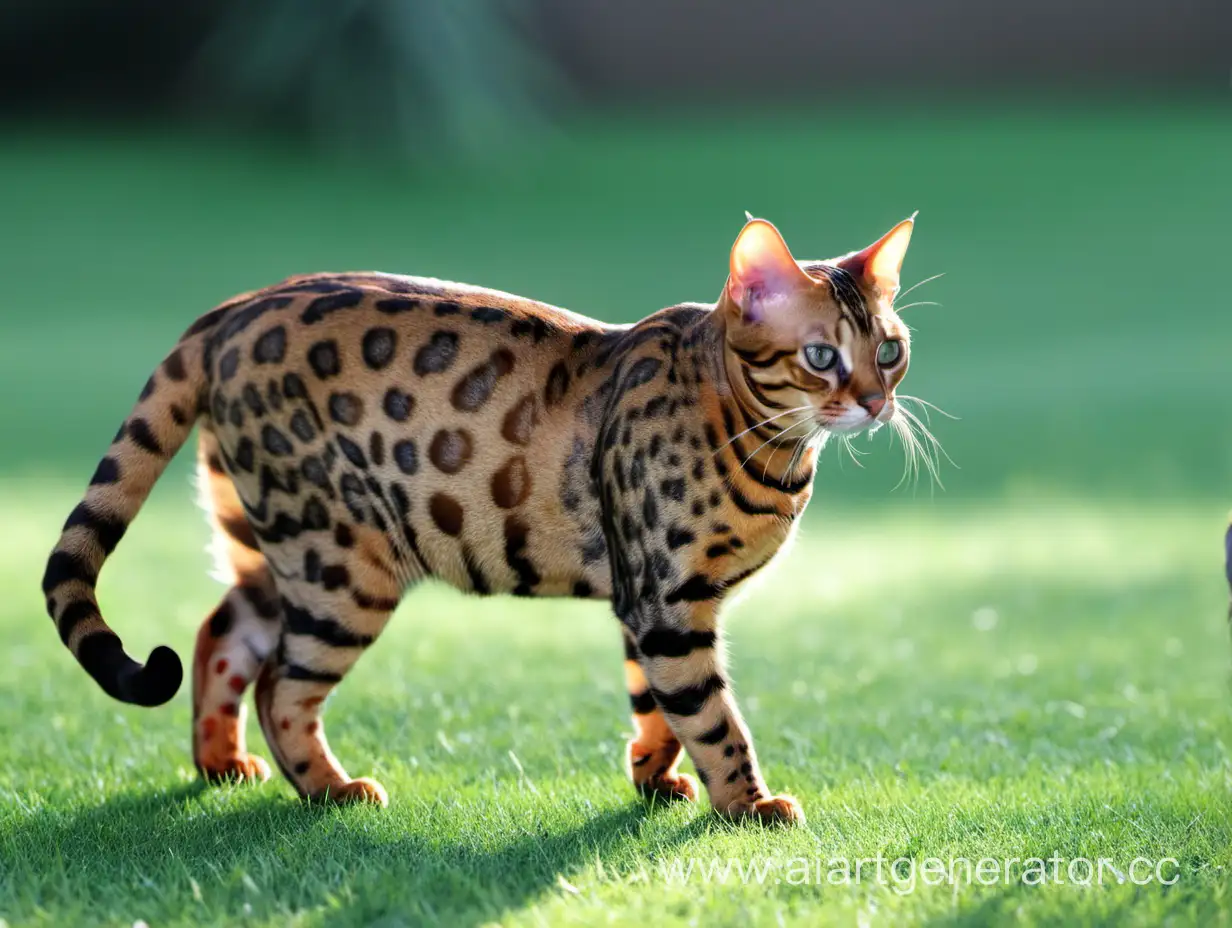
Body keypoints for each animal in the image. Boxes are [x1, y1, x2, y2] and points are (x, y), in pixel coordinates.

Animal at [43, 216, 916, 823]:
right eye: (822, 357)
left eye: (892, 350)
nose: (876, 403)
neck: (760, 442)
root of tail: (230, 310)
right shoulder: (667, 601)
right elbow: (712, 715)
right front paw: (748, 804)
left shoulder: (648, 601)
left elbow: (656, 705)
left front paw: (654, 777)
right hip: (345, 565)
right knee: (278, 685)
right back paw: (331, 790)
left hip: (278, 543)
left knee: (220, 635)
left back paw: (221, 766)